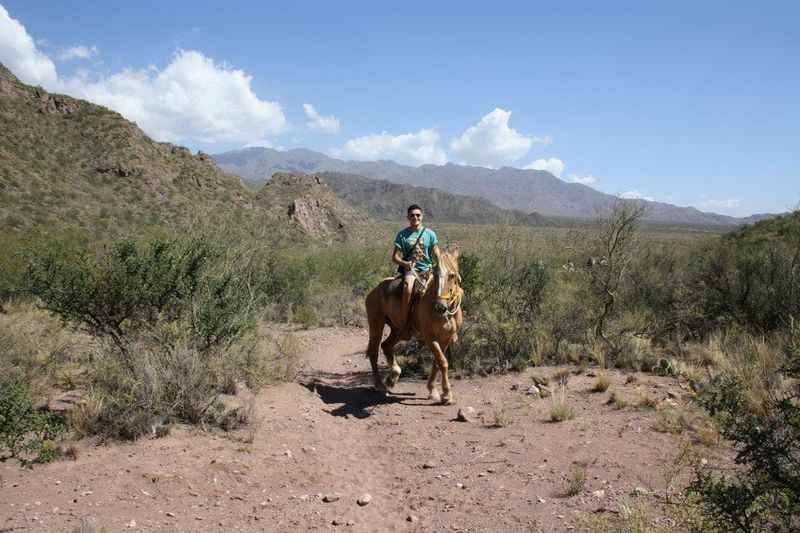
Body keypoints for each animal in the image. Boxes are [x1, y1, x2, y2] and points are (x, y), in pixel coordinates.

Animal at [362, 248, 462, 404]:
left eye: (452, 275)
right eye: (435, 274)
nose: (440, 307)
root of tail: (374, 290)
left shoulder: (446, 338)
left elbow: (437, 362)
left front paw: (433, 390)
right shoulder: (430, 338)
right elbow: (443, 362)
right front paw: (446, 394)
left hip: (397, 330)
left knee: (386, 346)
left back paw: (392, 378)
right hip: (376, 324)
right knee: (374, 351)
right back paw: (380, 385)